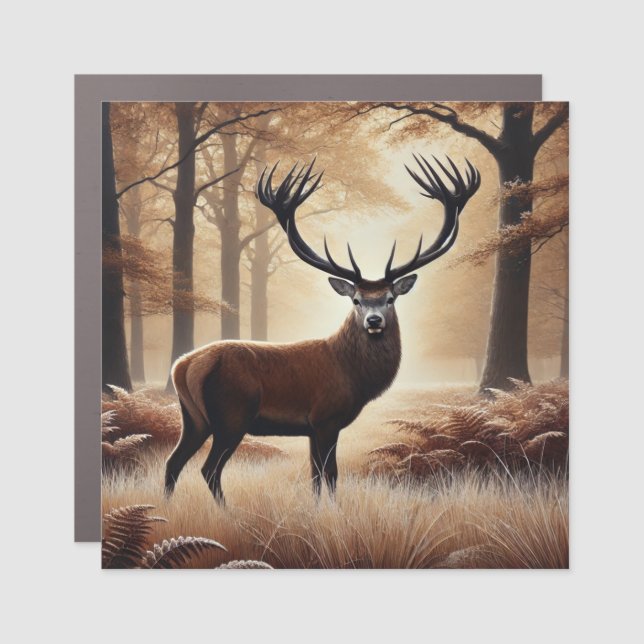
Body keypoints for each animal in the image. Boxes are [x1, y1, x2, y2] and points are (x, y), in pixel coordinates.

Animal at [164, 154, 480, 503]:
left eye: (390, 298)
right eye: (356, 300)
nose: (374, 321)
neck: (354, 375)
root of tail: (184, 365)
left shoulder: (312, 427)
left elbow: (316, 476)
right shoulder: (326, 417)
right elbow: (330, 474)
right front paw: (332, 508)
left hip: (193, 418)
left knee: (173, 462)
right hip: (231, 415)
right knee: (209, 469)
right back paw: (225, 511)